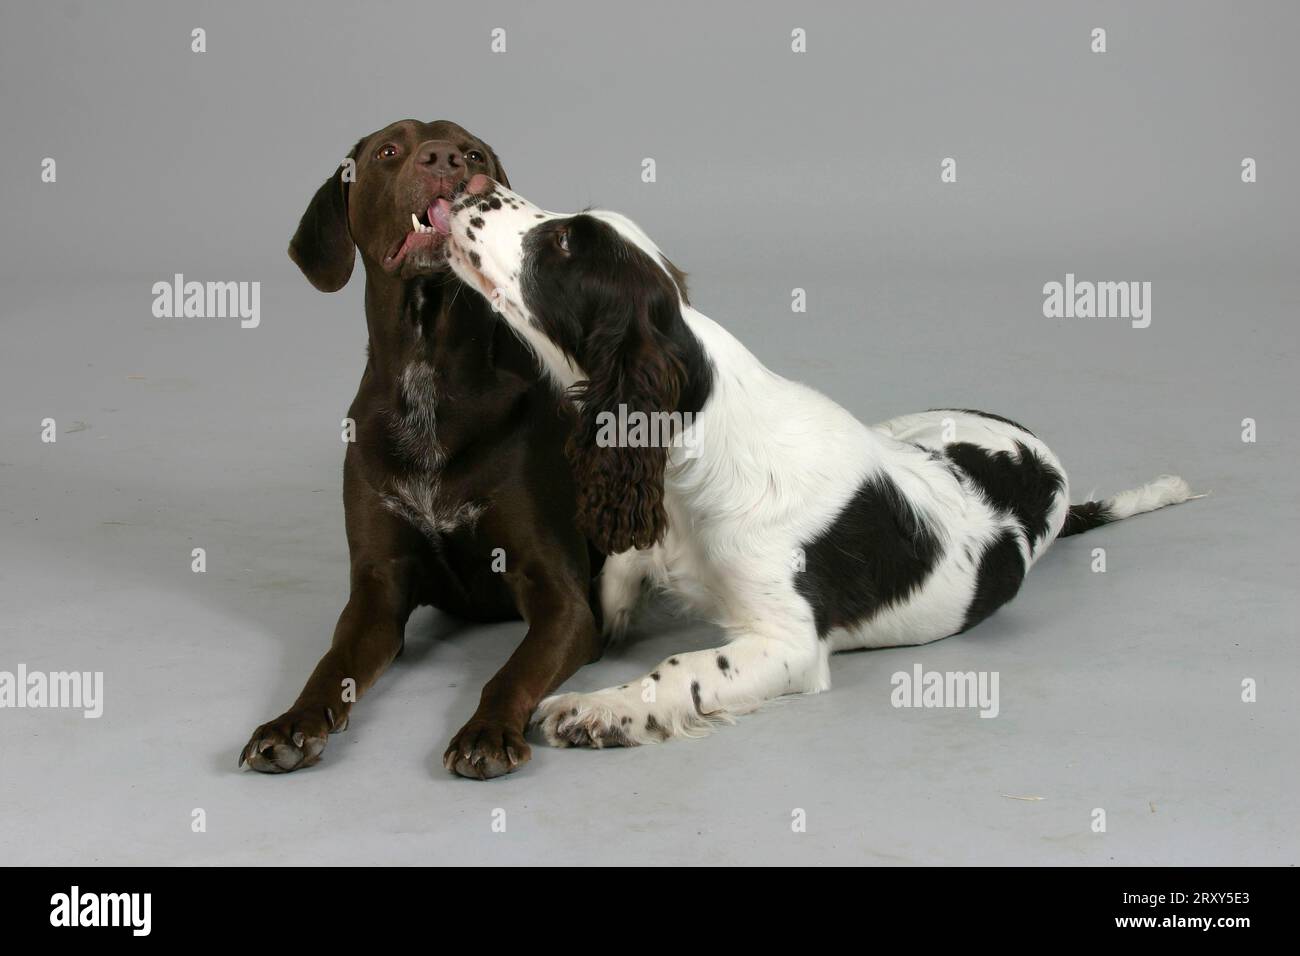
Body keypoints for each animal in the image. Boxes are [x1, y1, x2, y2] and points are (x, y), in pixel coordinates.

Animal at [239, 119, 603, 780]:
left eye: (475, 152)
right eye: (389, 151)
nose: (446, 160)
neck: (428, 368)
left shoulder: (560, 597)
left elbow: (508, 673)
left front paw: (486, 731)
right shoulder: (377, 590)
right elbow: (331, 664)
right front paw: (292, 722)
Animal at [439, 175, 1196, 749]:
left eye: (563, 243)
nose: (472, 187)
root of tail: (1049, 468)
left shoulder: (788, 642)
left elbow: (681, 665)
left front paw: (599, 707)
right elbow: (614, 585)